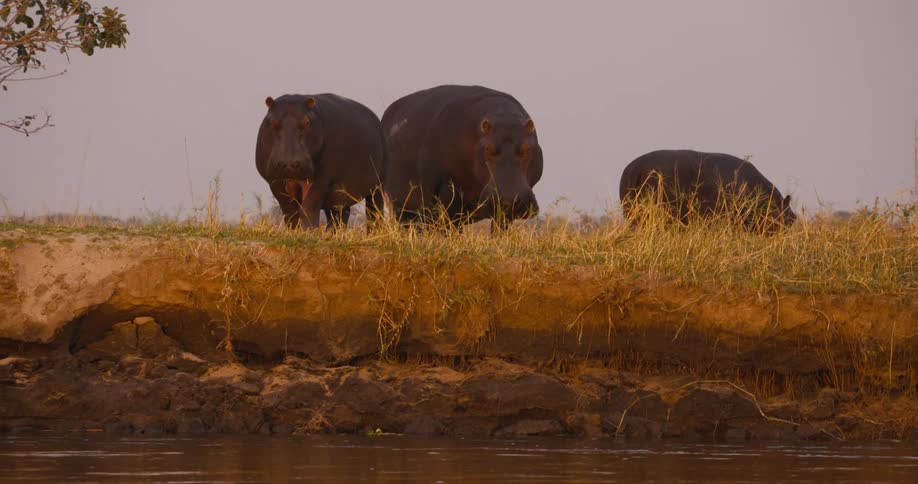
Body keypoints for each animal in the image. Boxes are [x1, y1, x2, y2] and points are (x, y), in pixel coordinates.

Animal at [256, 94, 385, 229]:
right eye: (272, 122)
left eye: (307, 122)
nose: (289, 163)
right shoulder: (275, 182)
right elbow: (290, 212)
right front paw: (293, 230)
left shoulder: (321, 180)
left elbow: (308, 208)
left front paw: (309, 231)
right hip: (338, 194)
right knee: (339, 214)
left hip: (378, 184)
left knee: (374, 210)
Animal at [381, 85, 543, 230]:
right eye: (487, 148)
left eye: (527, 149)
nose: (508, 199)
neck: (504, 118)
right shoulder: (449, 195)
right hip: (403, 207)